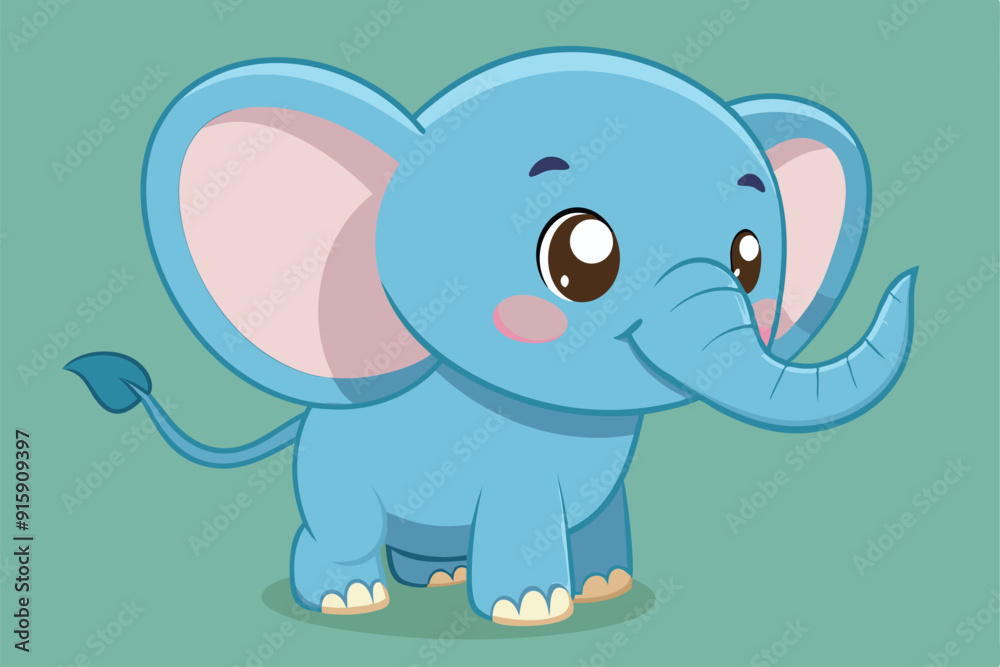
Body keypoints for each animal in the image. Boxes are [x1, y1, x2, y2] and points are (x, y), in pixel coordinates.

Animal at [67, 48, 916, 626]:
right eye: (580, 256)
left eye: (750, 259)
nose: (909, 277)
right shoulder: (517, 468)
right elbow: (523, 513)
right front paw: (534, 608)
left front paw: (600, 587)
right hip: (330, 475)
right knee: (339, 529)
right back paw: (349, 597)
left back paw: (437, 582)